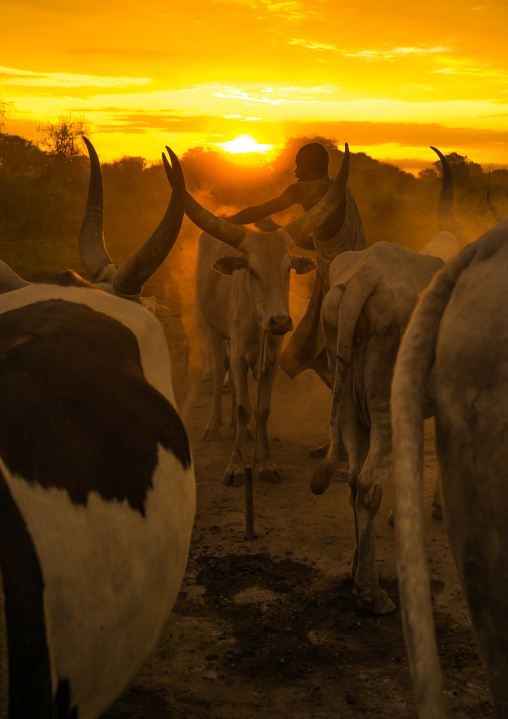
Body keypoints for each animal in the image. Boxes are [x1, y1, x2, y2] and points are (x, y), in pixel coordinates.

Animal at [163, 145, 350, 486]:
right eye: (251, 270)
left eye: (288, 269)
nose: (280, 321)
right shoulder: (237, 350)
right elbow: (241, 405)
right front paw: (236, 467)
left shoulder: (272, 356)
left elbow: (261, 410)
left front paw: (264, 464)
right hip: (213, 331)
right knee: (221, 373)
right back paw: (214, 425)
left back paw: (243, 431)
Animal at [309, 148, 470, 615]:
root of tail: (364, 281)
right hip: (382, 406)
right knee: (367, 485)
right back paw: (372, 592)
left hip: (351, 406)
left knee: (353, 481)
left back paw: (354, 571)